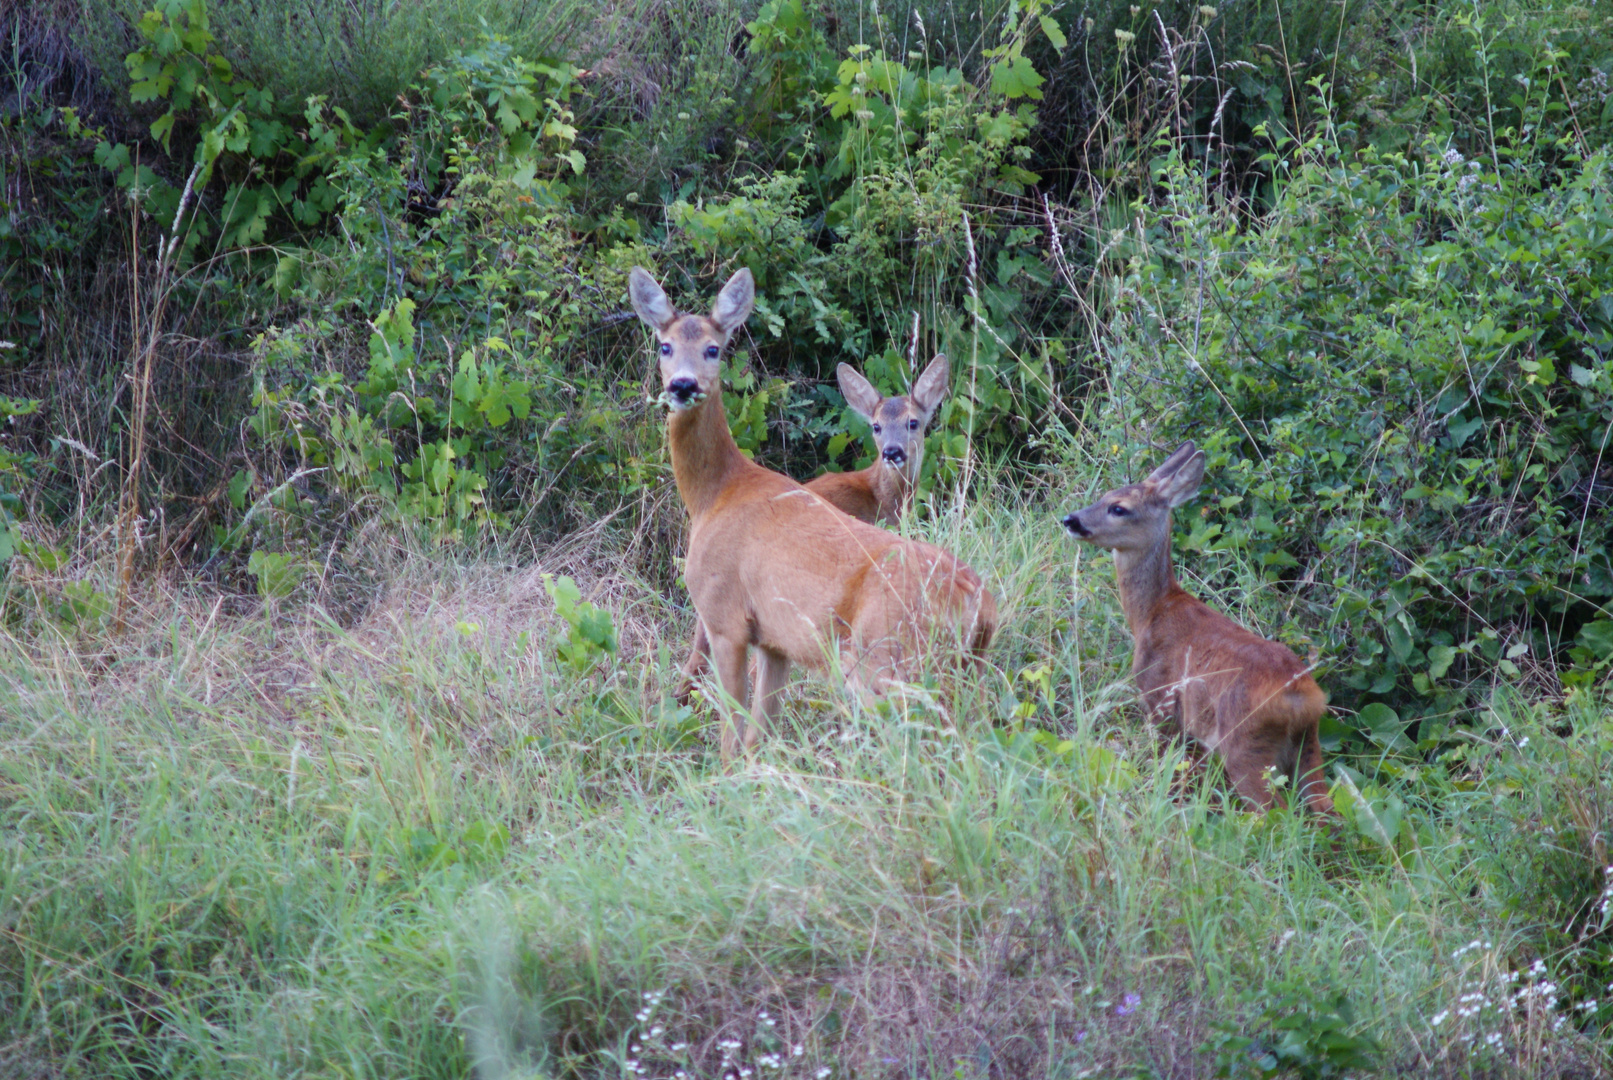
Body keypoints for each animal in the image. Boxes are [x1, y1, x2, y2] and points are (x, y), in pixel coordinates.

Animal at [1058, 444, 1335, 815]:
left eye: (1118, 507)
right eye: (1104, 495)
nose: (1071, 520)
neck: (1151, 614)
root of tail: (1300, 697)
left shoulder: (1159, 701)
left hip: (1245, 744)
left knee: (1271, 811)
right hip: (1309, 746)